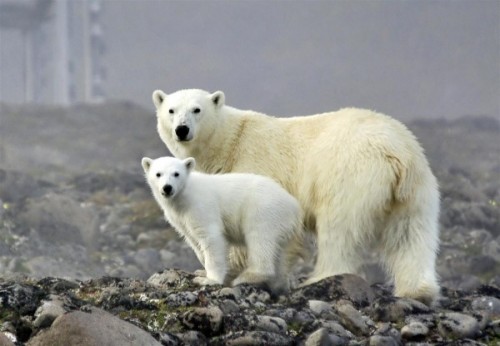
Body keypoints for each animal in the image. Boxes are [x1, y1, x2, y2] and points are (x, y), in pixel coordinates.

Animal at [151, 88, 438, 302]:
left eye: (197, 109)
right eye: (171, 110)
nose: (182, 129)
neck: (230, 142)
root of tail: (397, 153)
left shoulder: (255, 167)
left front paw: (232, 270)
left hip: (350, 174)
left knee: (339, 229)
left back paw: (320, 278)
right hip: (416, 189)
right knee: (411, 235)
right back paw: (419, 291)